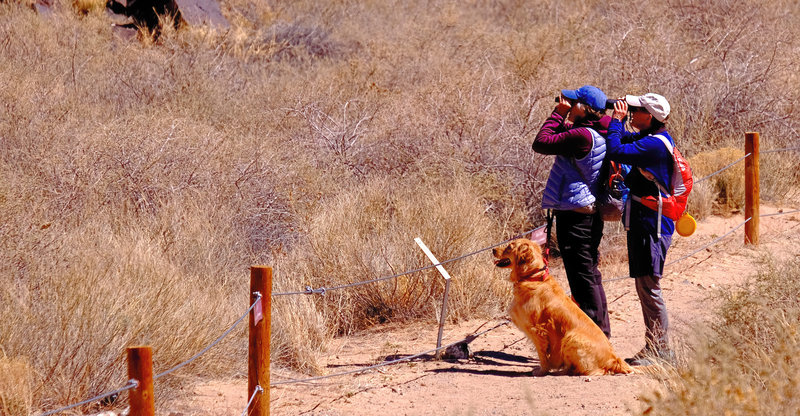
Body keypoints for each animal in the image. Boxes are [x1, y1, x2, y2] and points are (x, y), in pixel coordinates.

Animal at [494, 239, 632, 376]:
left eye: (510, 246)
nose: (493, 250)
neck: (534, 277)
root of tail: (614, 359)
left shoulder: (538, 330)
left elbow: (542, 355)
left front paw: (542, 370)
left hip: (571, 338)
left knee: (593, 371)